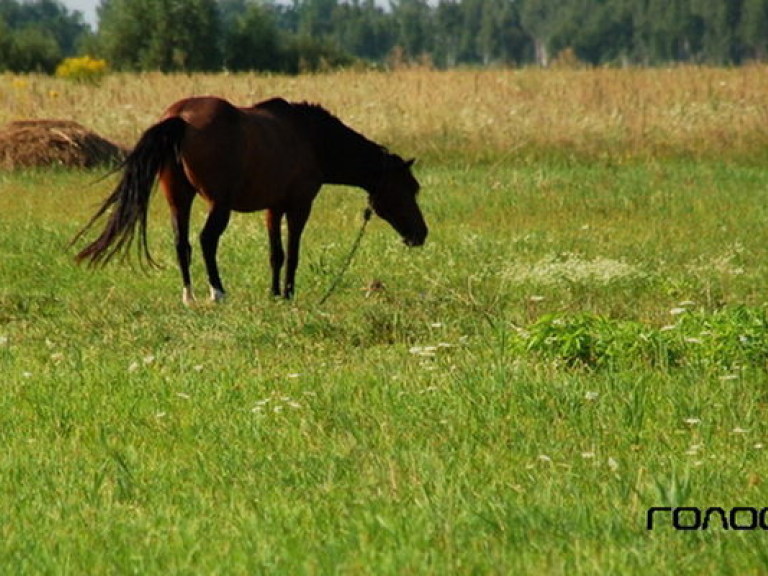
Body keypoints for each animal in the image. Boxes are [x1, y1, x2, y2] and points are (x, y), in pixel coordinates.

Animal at [71, 95, 426, 302]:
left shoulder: (273, 207)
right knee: (206, 240)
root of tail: (180, 117)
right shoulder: (299, 206)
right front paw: (288, 294)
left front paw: (274, 294)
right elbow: (292, 253)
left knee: (181, 243)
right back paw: (217, 292)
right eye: (409, 188)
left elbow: (275, 254)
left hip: (179, 198)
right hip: (219, 204)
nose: (421, 234)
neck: (312, 138)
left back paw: (189, 297)